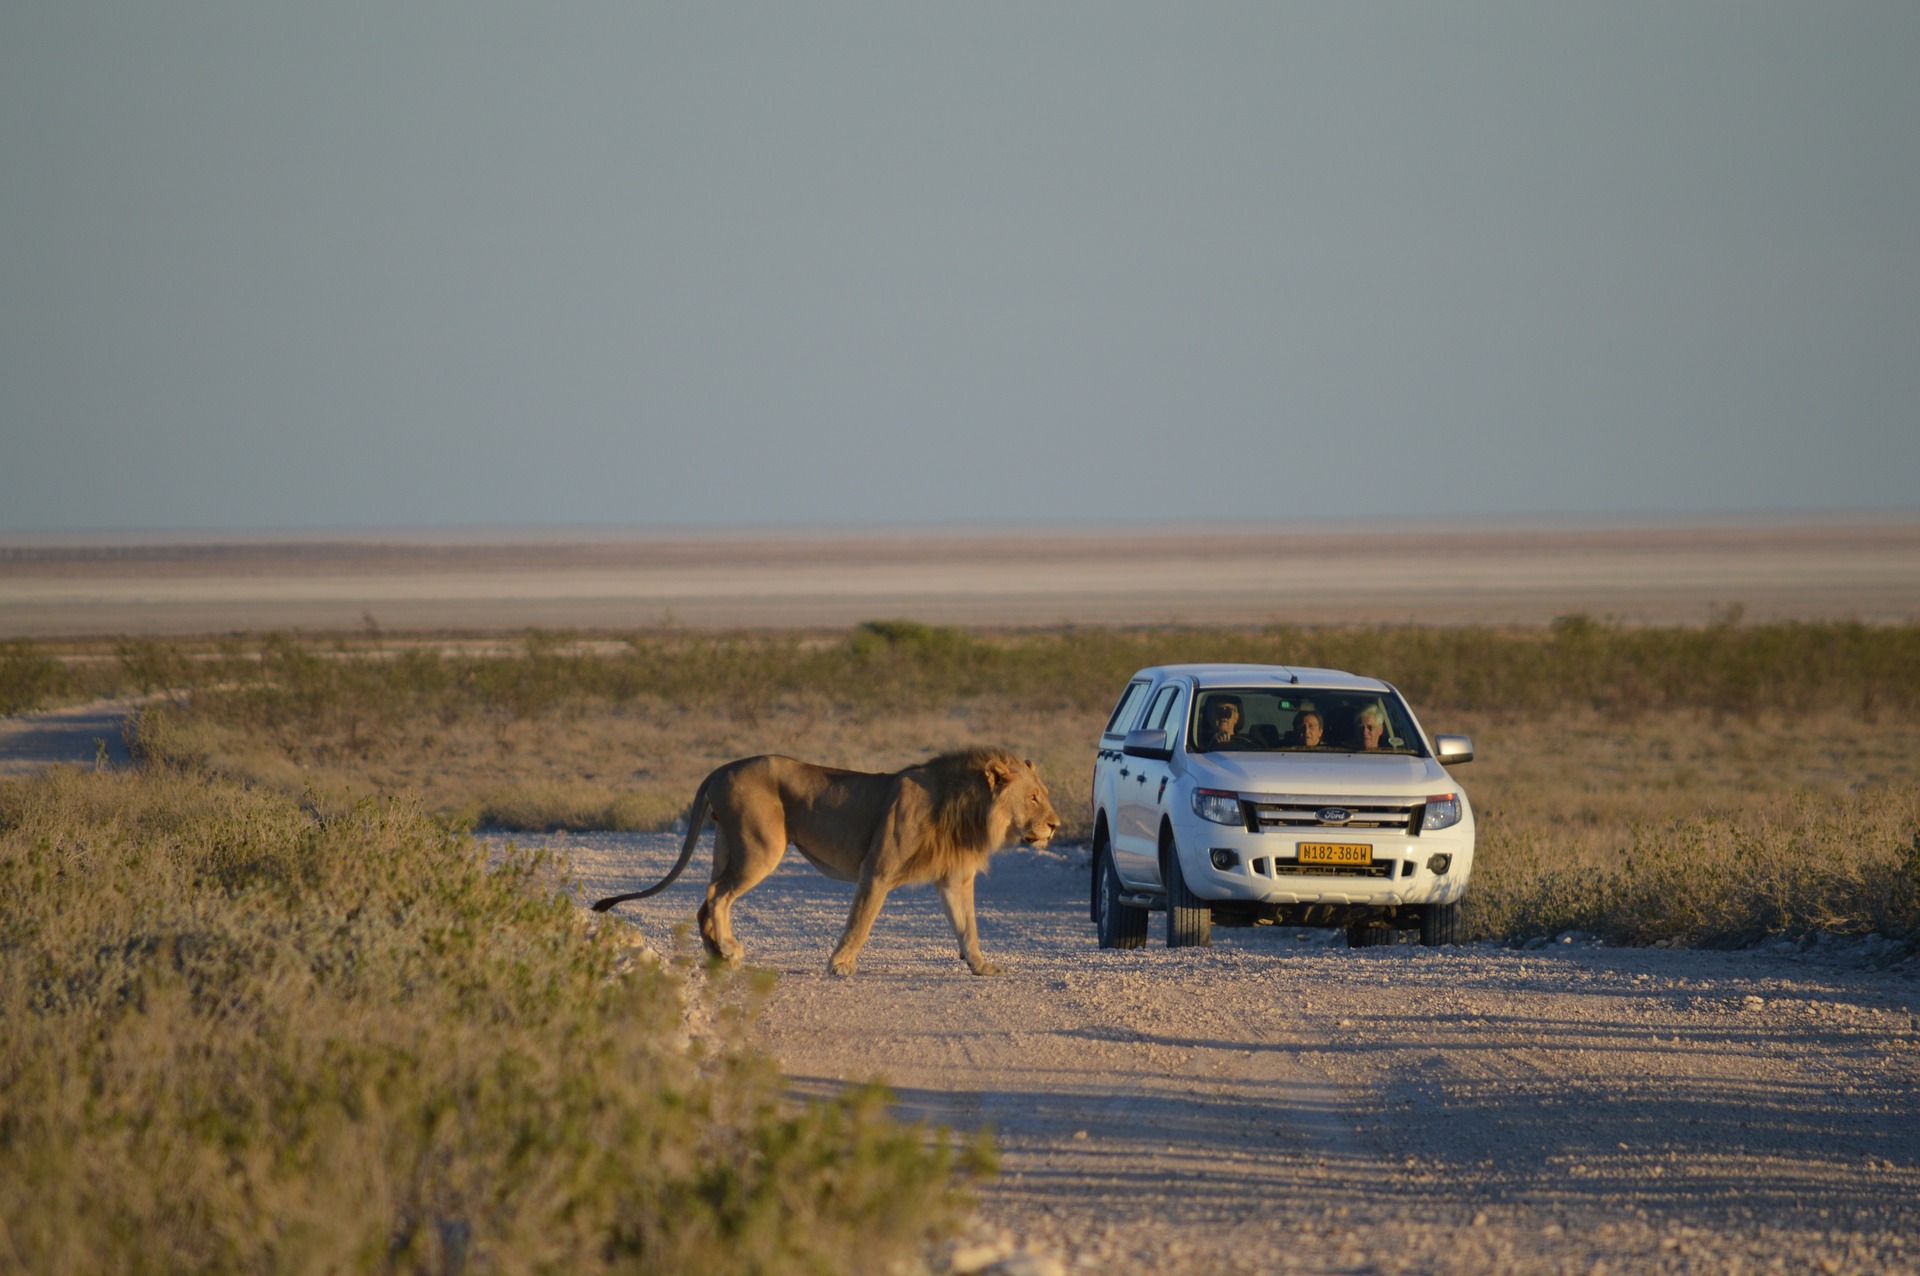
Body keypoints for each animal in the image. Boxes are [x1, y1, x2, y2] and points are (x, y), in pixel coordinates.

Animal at [591, 748, 1059, 974]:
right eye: (1034, 797)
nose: (1056, 826)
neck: (968, 808)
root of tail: (720, 769)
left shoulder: (955, 878)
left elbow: (968, 927)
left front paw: (981, 966)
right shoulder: (878, 868)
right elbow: (860, 921)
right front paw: (840, 965)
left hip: (728, 843)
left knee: (706, 900)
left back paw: (718, 953)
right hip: (761, 846)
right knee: (717, 894)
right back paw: (728, 949)